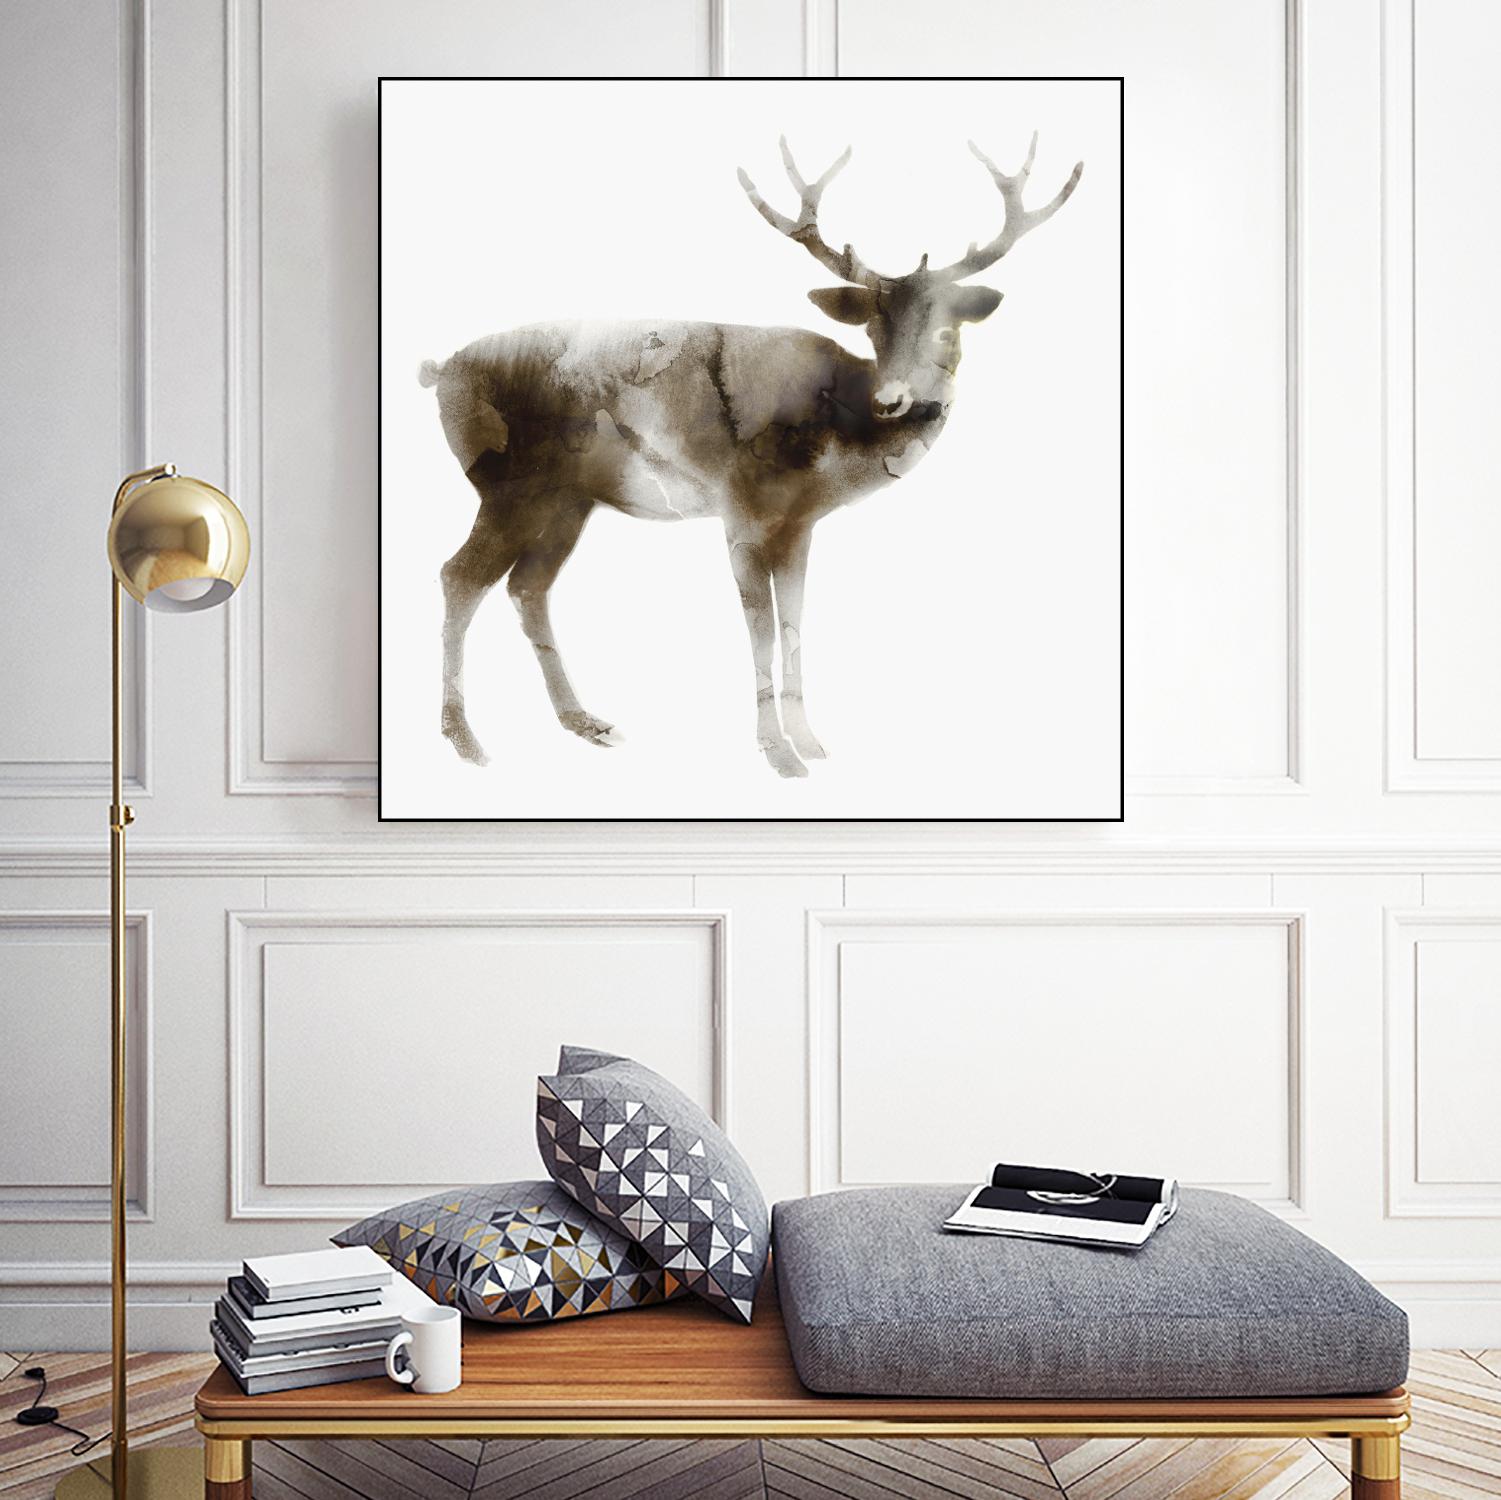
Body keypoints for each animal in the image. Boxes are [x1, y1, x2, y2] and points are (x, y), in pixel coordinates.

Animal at [422, 134, 1082, 778]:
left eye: (948, 329)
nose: (894, 400)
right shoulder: (740, 510)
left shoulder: (800, 526)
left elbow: (793, 622)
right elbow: (760, 628)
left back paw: (585, 722)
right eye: (872, 328)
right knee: (459, 576)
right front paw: (777, 753)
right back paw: (465, 740)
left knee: (528, 587)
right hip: (507, 486)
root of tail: (439, 372)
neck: (833, 446)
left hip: (567, 501)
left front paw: (810, 742)